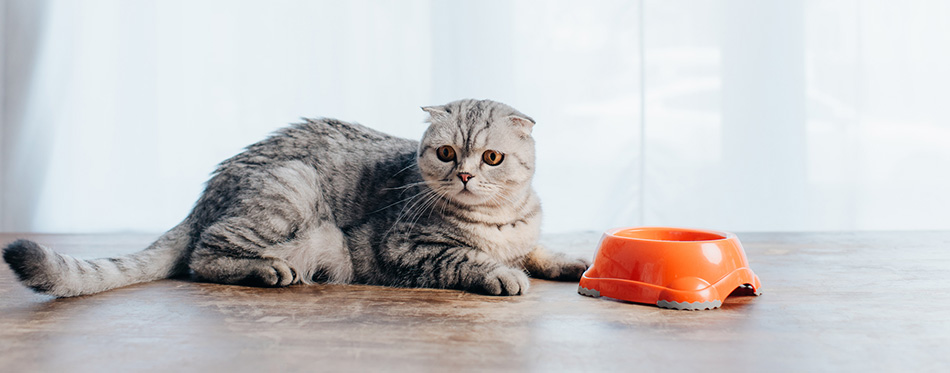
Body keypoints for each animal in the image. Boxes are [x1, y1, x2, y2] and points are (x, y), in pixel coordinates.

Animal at [3, 99, 592, 296]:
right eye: (446, 153)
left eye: (490, 158)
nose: (466, 176)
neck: (499, 218)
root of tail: (204, 195)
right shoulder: (407, 247)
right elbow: (469, 258)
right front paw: (501, 273)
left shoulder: (526, 236)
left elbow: (541, 251)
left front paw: (575, 263)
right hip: (291, 186)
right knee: (203, 256)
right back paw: (267, 271)